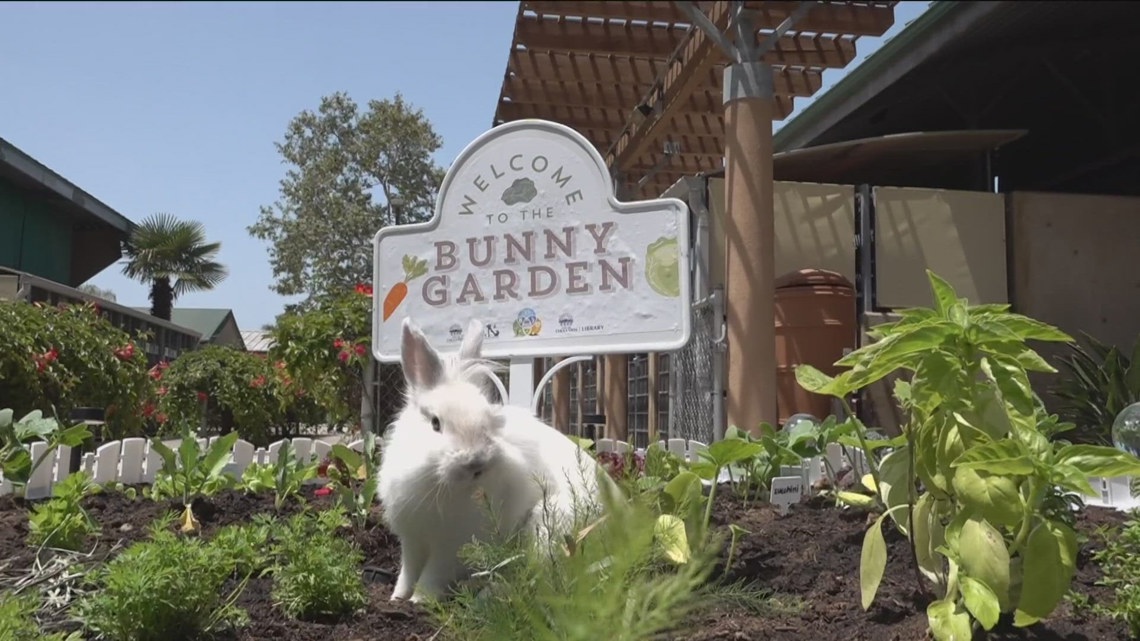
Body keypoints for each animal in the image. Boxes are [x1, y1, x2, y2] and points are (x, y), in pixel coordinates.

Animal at [378, 317, 611, 602]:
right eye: (435, 423)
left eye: (488, 422)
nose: (476, 463)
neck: (439, 483)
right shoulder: (412, 539)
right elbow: (408, 571)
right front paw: (397, 597)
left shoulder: (451, 547)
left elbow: (432, 575)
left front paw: (419, 600)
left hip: (548, 530)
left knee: (540, 580)